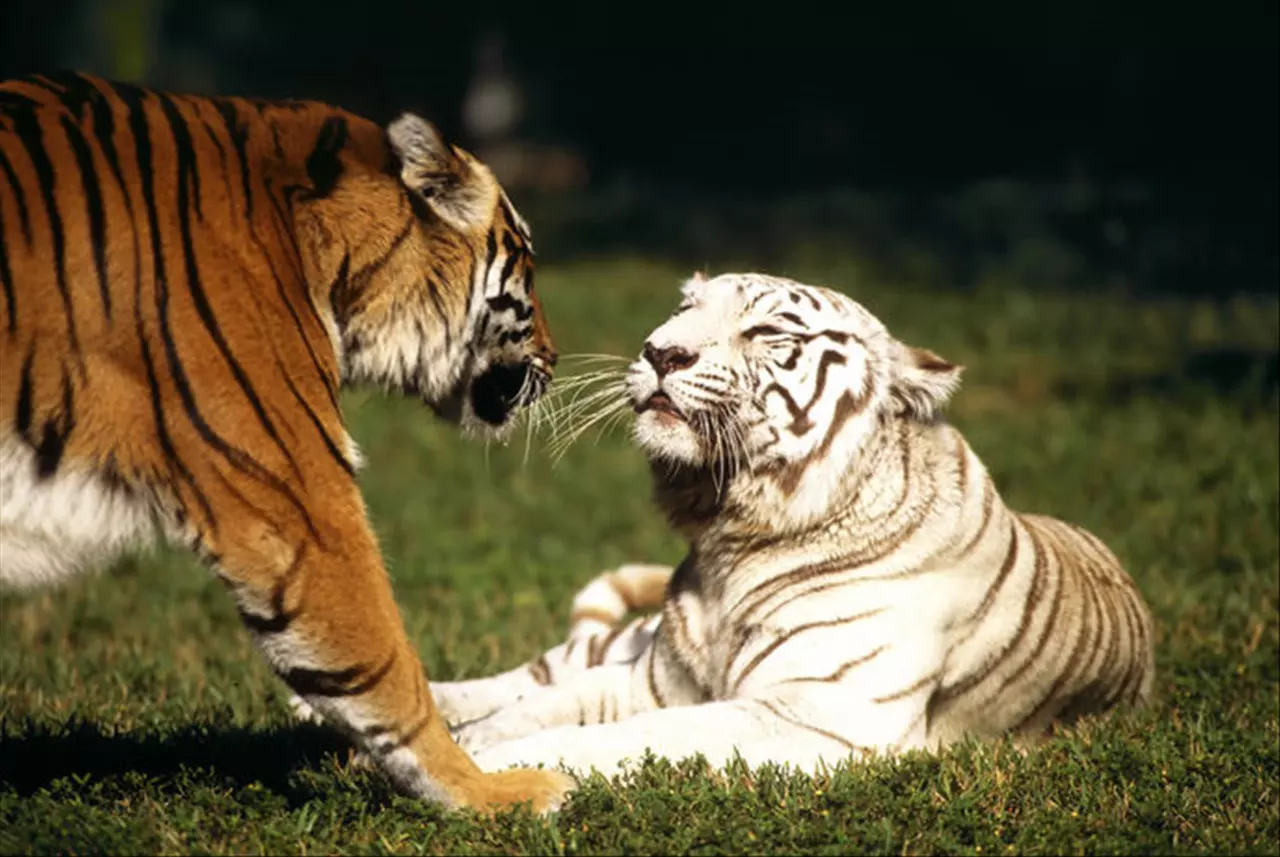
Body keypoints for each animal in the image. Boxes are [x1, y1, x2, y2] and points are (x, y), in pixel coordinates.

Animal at [437, 273, 1162, 777]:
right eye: (682, 311)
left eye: (765, 333)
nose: (659, 351)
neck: (730, 537)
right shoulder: (654, 677)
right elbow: (546, 702)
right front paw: (464, 744)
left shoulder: (822, 715)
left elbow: (614, 736)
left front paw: (487, 767)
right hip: (624, 640)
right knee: (529, 673)